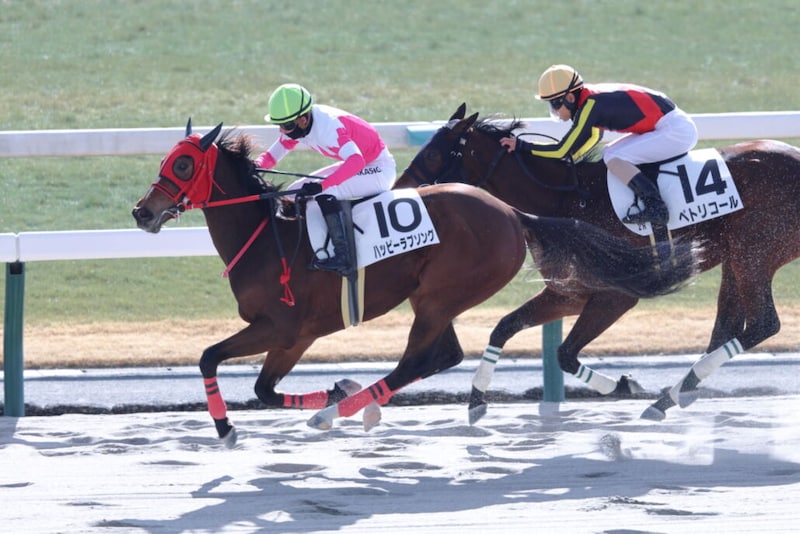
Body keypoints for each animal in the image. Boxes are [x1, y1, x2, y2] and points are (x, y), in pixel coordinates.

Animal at [132, 120, 700, 446]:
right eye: (166, 160)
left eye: (184, 163)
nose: (143, 212)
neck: (265, 235)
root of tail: (512, 213)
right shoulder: (292, 336)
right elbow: (261, 388)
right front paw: (331, 391)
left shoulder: (285, 329)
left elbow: (218, 363)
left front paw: (229, 427)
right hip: (438, 299)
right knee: (441, 355)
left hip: (438, 295)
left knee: (422, 359)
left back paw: (349, 410)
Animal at [395, 103, 800, 422]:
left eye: (432, 155)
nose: (401, 191)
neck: (566, 201)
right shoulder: (569, 293)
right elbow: (505, 328)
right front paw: (477, 400)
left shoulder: (615, 295)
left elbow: (564, 353)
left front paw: (621, 385)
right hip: (738, 256)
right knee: (728, 327)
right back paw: (675, 395)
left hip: (754, 251)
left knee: (762, 323)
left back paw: (668, 398)